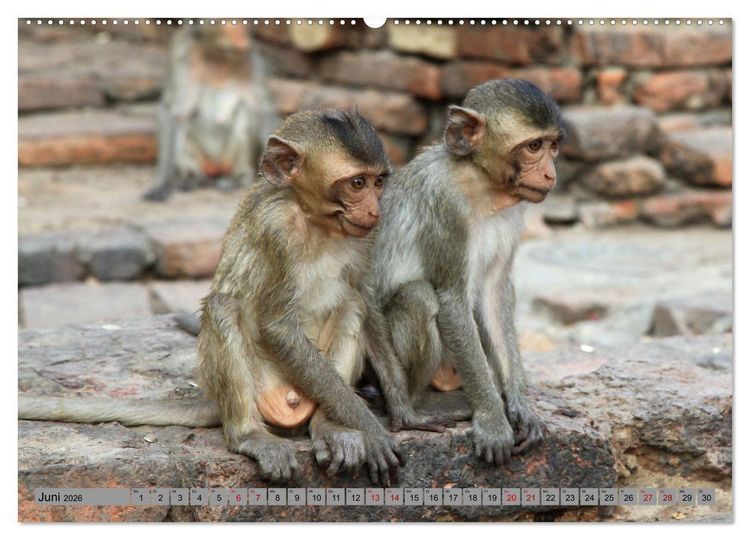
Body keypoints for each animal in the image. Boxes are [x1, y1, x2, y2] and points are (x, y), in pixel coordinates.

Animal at [20, 108, 441, 485]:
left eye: (379, 181)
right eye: (356, 183)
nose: (373, 208)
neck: (314, 220)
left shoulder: (366, 234)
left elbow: (365, 299)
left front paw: (402, 412)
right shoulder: (275, 231)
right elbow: (279, 327)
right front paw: (373, 430)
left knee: (351, 307)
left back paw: (329, 427)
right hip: (260, 386)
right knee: (224, 308)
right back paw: (250, 435)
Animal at [143, 25, 277, 201]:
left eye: (244, 22)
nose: (243, 34)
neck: (216, 53)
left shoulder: (253, 60)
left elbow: (264, 111)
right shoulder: (181, 51)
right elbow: (171, 110)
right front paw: (162, 183)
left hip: (228, 159)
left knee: (244, 114)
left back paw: (237, 178)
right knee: (183, 122)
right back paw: (192, 177)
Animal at [369, 79, 564, 465]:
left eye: (553, 146)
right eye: (533, 146)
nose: (550, 173)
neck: (480, 183)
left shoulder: (512, 214)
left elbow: (492, 298)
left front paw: (520, 405)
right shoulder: (446, 206)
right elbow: (451, 300)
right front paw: (492, 419)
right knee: (418, 296)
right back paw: (421, 405)